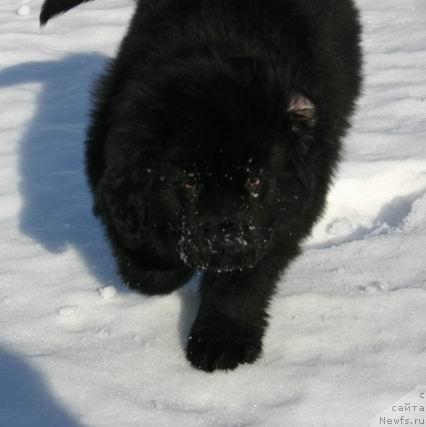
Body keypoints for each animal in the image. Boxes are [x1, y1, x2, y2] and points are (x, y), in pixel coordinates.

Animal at [40, 0, 362, 372]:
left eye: (256, 180)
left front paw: (221, 342)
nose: (226, 240)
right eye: (190, 181)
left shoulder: (287, 212)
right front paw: (166, 272)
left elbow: (241, 281)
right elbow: (143, 259)